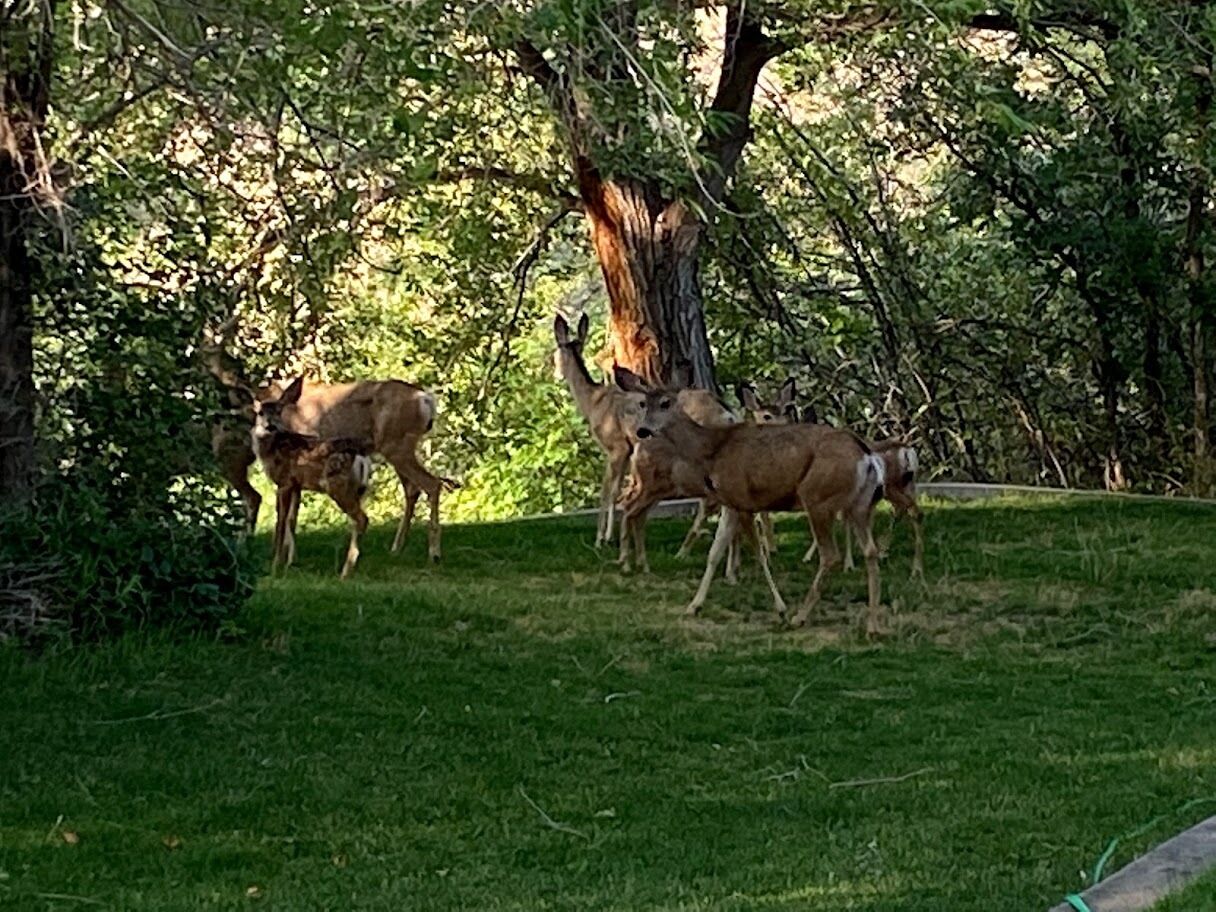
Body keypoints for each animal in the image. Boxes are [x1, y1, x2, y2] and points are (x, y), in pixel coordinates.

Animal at [252, 379, 373, 578]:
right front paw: (289, 563)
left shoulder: (284, 481)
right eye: (260, 412)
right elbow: (292, 521)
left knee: (362, 519)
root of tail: (362, 458)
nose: (270, 426)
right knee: (358, 520)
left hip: (338, 486)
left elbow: (280, 523)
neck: (272, 449)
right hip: (358, 490)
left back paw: (345, 572)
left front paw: (274, 567)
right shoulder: (297, 485)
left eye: (279, 411)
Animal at [552, 313, 737, 549]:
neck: (593, 402)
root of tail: (726, 413)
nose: (555, 374)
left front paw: (601, 539)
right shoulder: (629, 449)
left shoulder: (616, 445)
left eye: (555, 354)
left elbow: (608, 491)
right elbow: (617, 490)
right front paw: (609, 536)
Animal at [615, 366, 888, 635]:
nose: (642, 430)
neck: (712, 449)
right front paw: (694, 606)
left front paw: (781, 609)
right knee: (870, 551)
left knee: (830, 555)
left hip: (818, 498)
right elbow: (715, 551)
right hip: (859, 504)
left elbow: (759, 552)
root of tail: (867, 456)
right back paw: (872, 626)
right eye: (644, 403)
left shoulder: (742, 497)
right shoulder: (728, 501)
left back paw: (800, 617)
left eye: (665, 402)